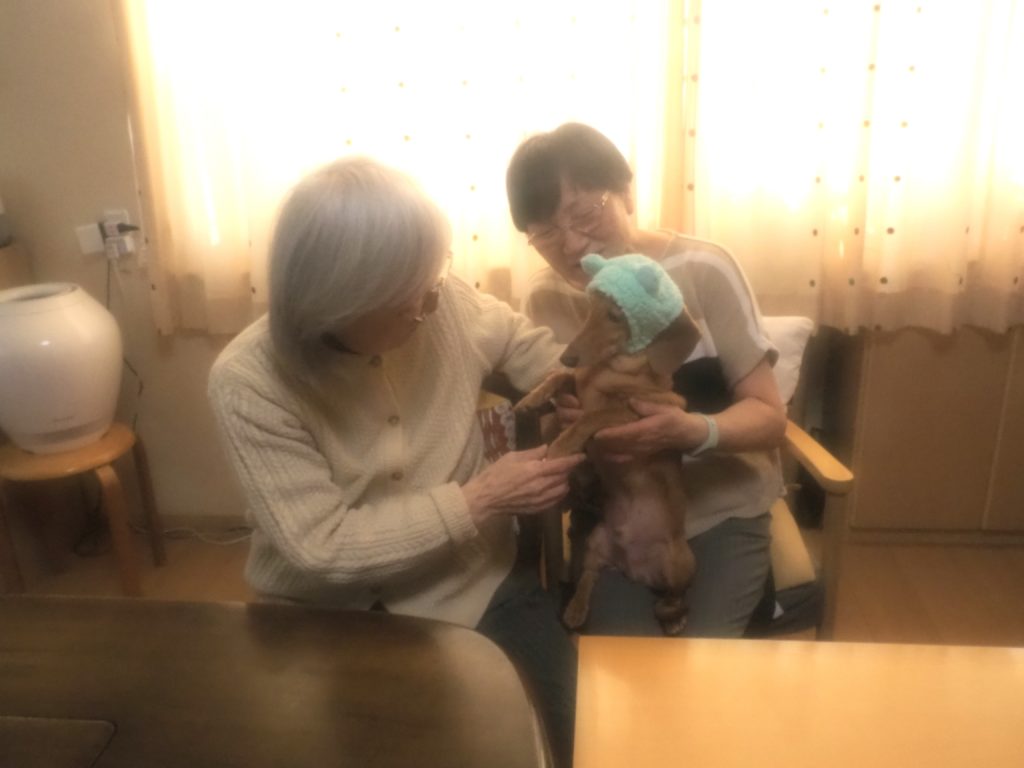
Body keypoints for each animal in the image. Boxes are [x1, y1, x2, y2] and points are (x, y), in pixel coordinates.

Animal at [515, 253, 702, 635]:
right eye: (590, 308)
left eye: (616, 316)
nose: (567, 356)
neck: (608, 371)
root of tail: (635, 570)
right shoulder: (577, 386)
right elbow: (561, 380)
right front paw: (532, 397)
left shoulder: (643, 412)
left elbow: (593, 416)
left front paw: (562, 444)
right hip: (596, 542)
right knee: (589, 575)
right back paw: (575, 609)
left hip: (680, 560)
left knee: (676, 594)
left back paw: (674, 617)